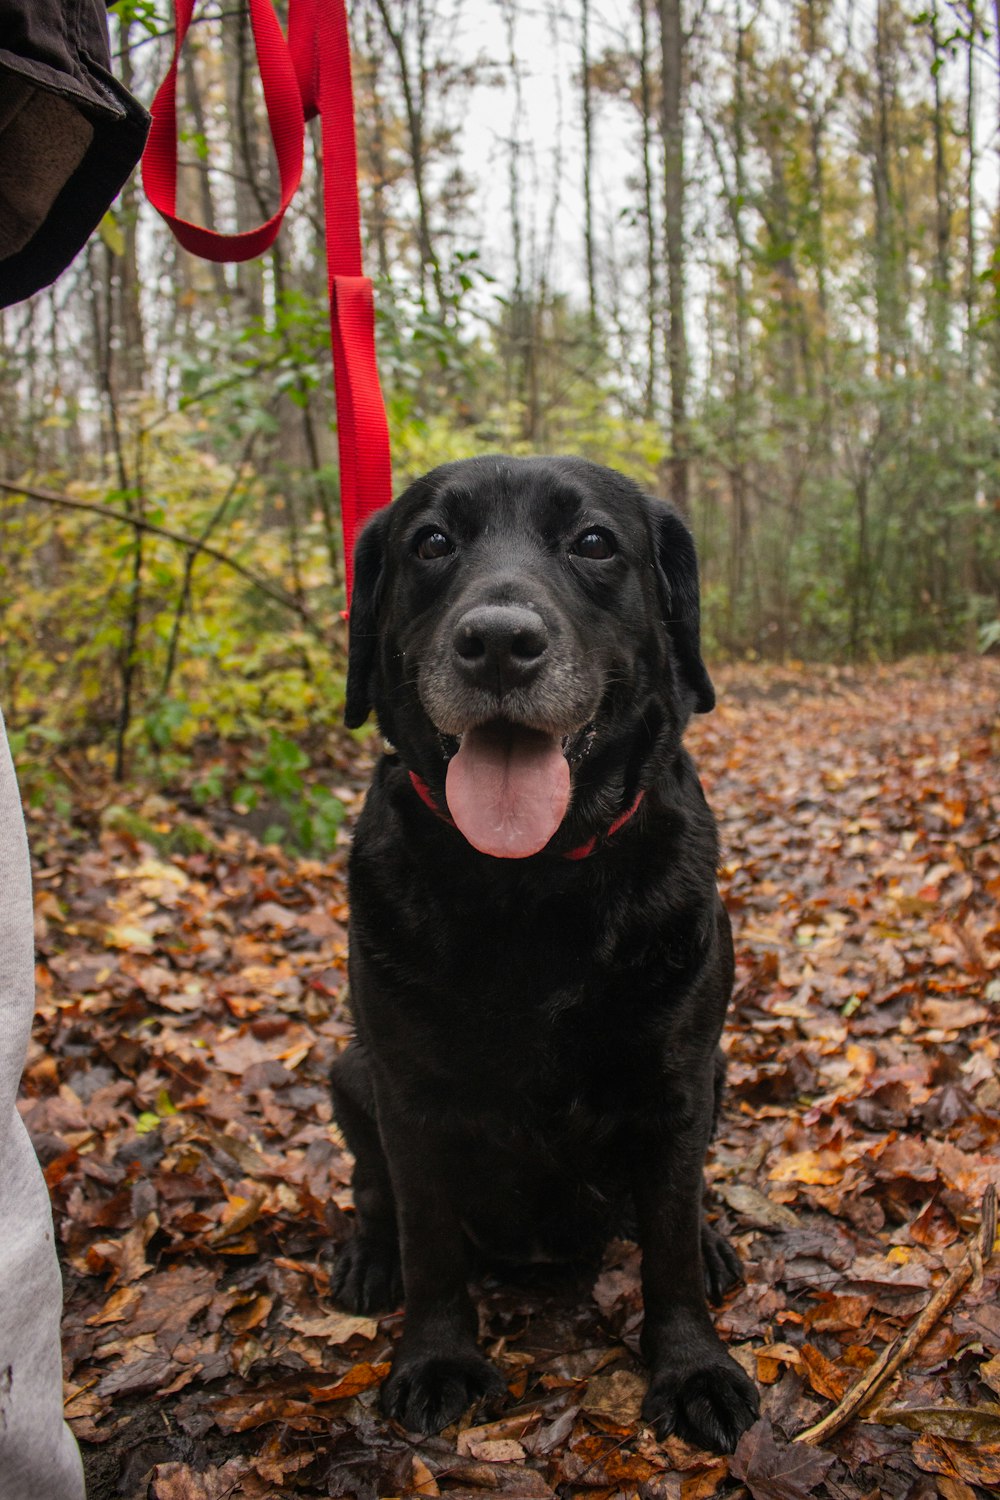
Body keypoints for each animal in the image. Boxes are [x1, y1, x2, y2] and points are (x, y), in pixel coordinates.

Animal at [328, 453, 758, 1452]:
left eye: (594, 541)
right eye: (432, 542)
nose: (496, 642)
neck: (530, 889)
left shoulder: (678, 1082)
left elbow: (667, 1243)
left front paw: (693, 1367)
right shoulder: (408, 1095)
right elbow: (430, 1239)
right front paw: (436, 1357)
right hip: (347, 1072)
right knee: (373, 1191)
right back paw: (370, 1257)